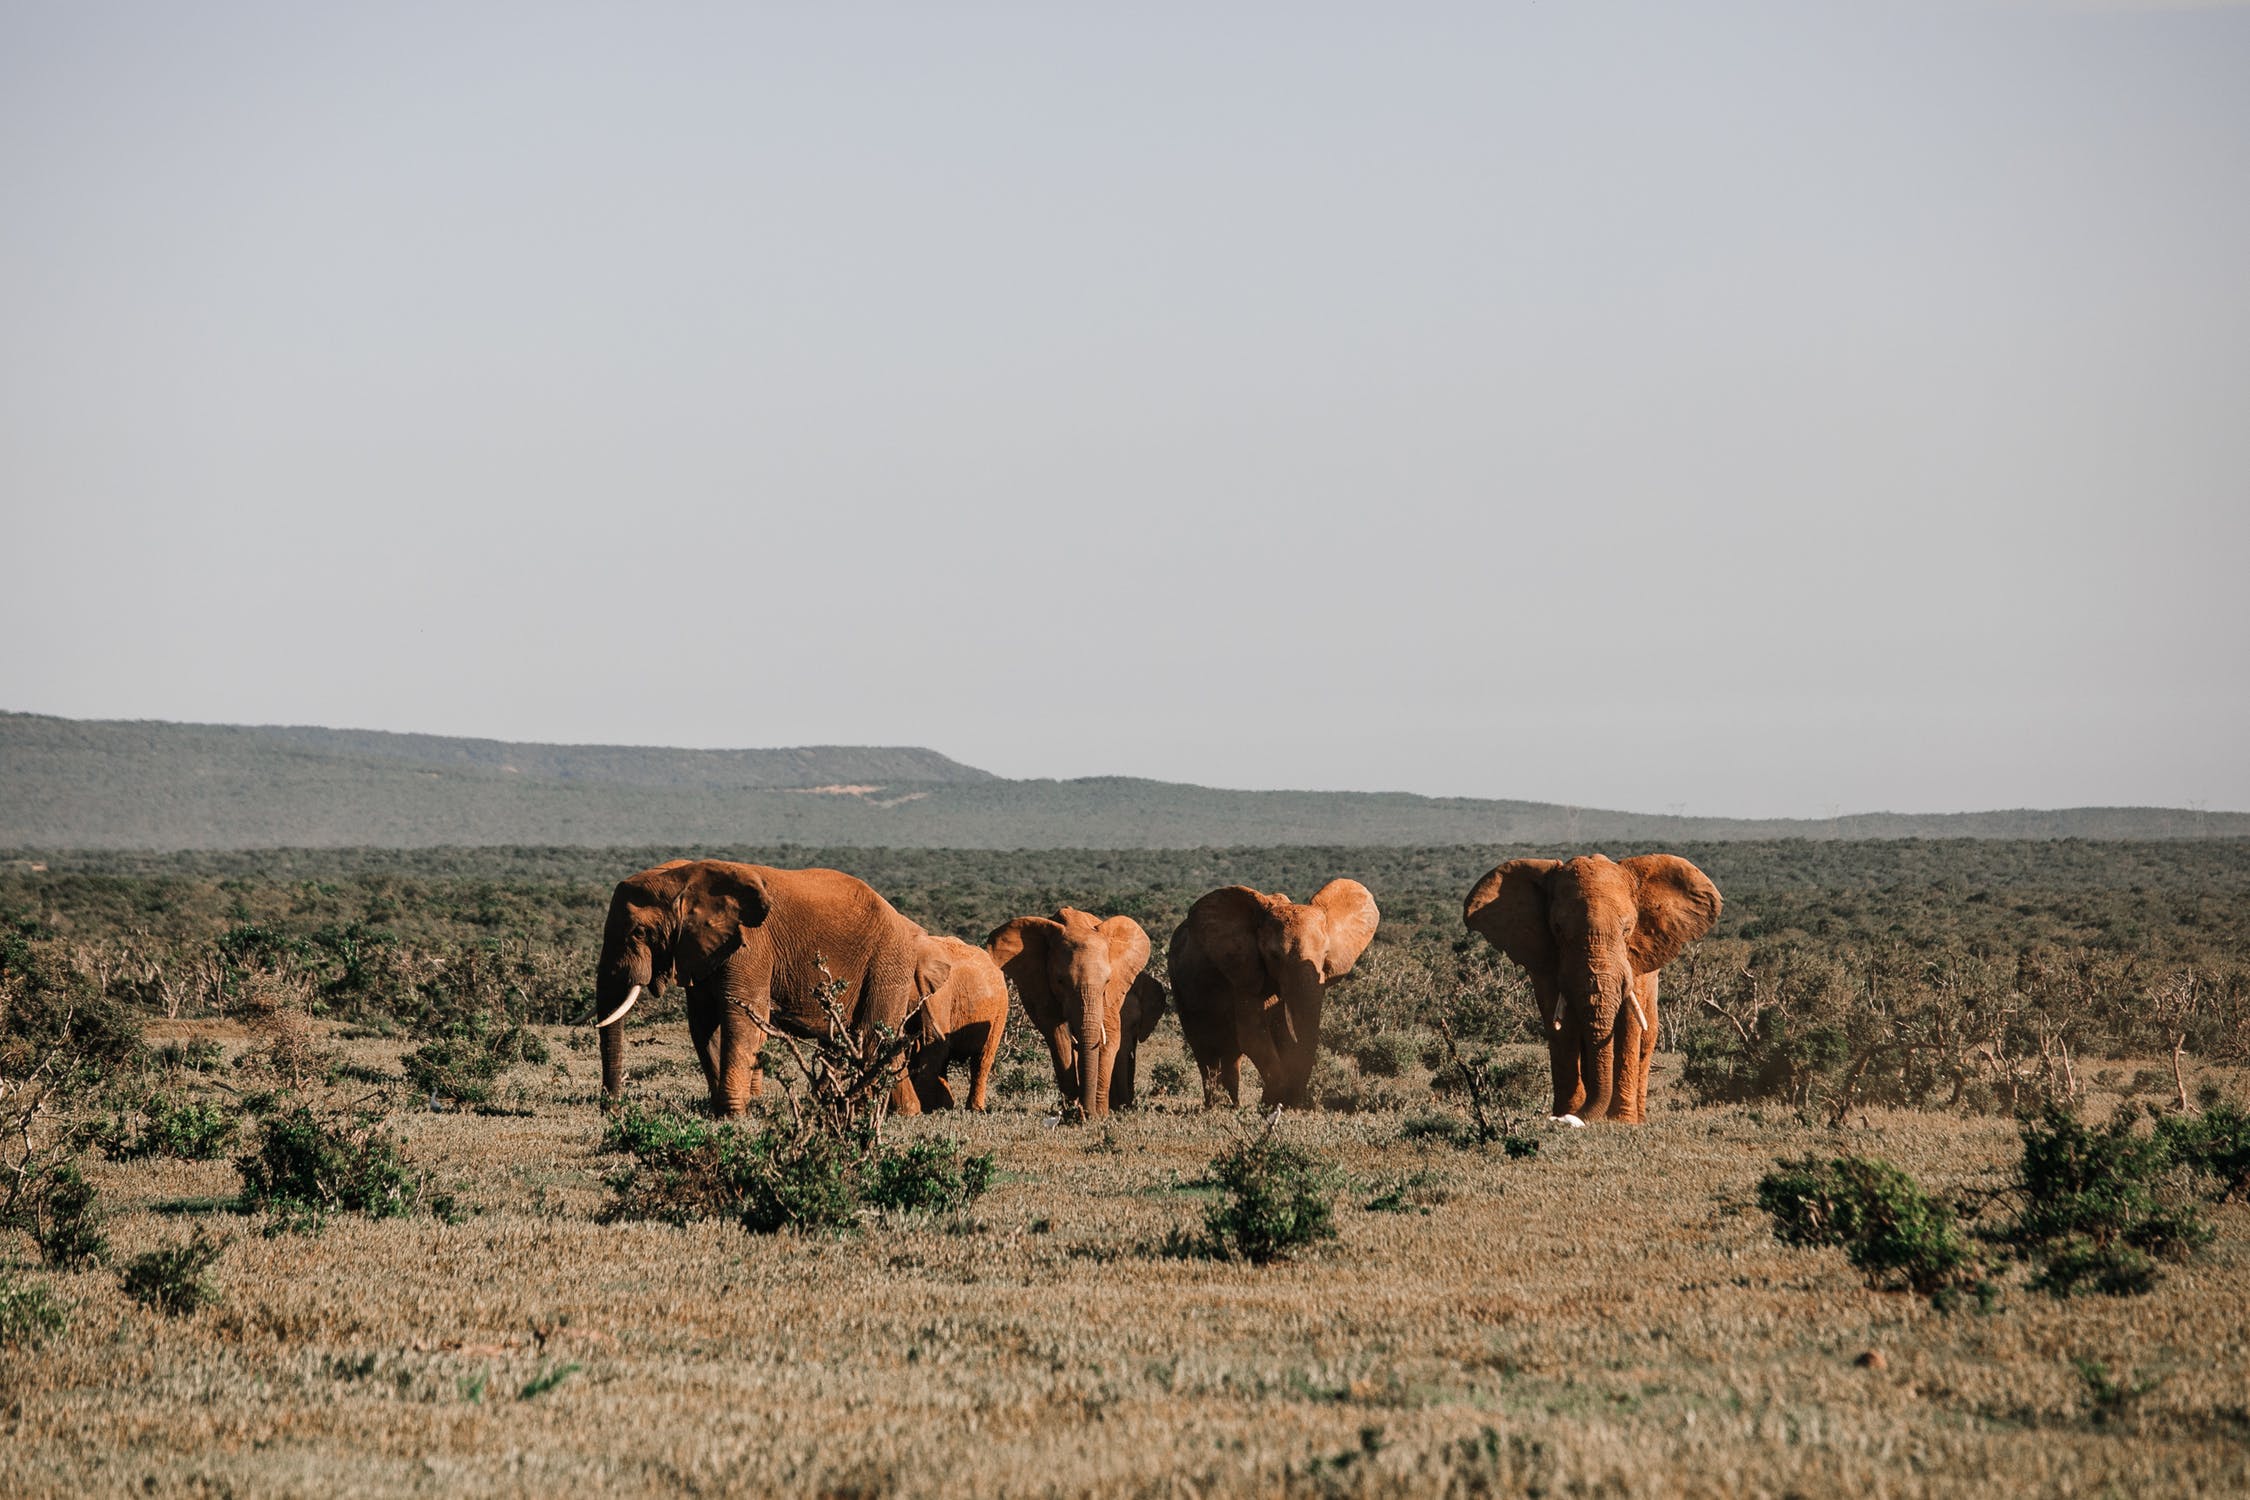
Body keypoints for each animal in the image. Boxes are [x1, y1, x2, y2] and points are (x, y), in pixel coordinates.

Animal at [594, 863, 936, 1119]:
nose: (612, 1110)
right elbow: (703, 1023)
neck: (683, 878)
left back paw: (863, 1111)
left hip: (888, 960)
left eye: (640, 932)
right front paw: (720, 1110)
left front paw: (732, 1115)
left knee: (873, 1036)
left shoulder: (751, 945)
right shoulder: (700, 950)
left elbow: (742, 1018)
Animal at [904, 940, 1012, 1115]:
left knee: (982, 1059)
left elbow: (933, 1045)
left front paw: (925, 1109)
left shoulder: (939, 995)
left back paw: (973, 1109)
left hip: (1000, 1010)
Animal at [981, 908, 1161, 1119]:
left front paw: (1098, 1114)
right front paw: (1075, 1111)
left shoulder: (1112, 994)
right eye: (1060, 981)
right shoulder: (1042, 987)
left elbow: (1109, 1039)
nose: (1086, 1112)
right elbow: (1059, 1038)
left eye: (1107, 982)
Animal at [1170, 881, 1377, 1115]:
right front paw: (1271, 1102)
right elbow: (1253, 1035)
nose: (1294, 1105)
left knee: (1232, 1054)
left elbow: (1280, 1032)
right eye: (1274, 956)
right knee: (1204, 1050)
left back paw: (1233, 1106)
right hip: (1180, 987)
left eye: (1325, 955)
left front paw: (1275, 1102)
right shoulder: (1243, 969)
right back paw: (1214, 1106)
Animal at [1458, 854, 1719, 1124]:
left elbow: (1629, 1025)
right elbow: (1562, 1028)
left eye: (1627, 929)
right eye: (1558, 929)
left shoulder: (1634, 964)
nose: (1570, 1119)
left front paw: (1621, 1120)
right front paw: (1566, 1113)